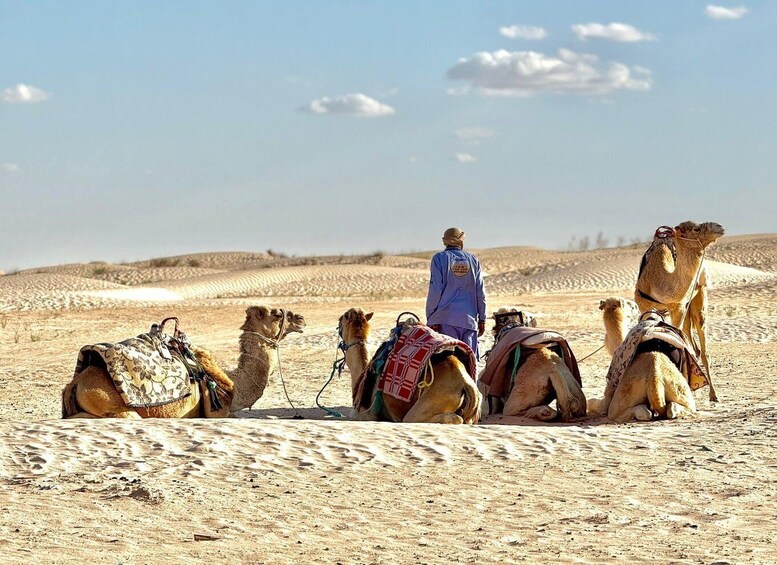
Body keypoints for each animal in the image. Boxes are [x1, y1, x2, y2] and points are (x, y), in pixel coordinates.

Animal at [634, 221, 724, 401]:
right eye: (696, 229)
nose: (719, 227)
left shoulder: (678, 307)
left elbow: (678, 338)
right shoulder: (643, 305)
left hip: (699, 295)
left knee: (702, 345)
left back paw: (713, 394)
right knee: (693, 342)